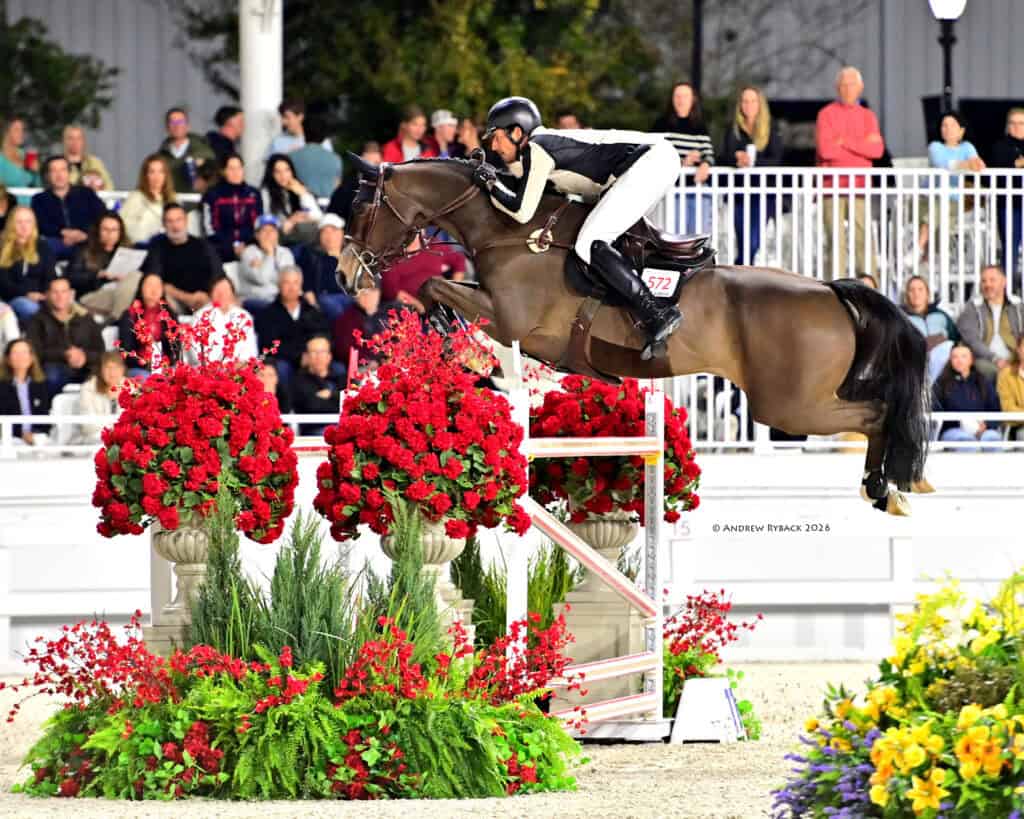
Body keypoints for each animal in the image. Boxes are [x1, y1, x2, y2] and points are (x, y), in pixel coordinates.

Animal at [338, 156, 931, 516]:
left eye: (362, 208)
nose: (345, 275)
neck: (513, 233)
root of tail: (830, 291)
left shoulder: (511, 321)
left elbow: (437, 286)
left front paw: (469, 351)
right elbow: (442, 291)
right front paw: (472, 358)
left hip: (789, 405)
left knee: (875, 413)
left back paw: (884, 489)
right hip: (801, 399)